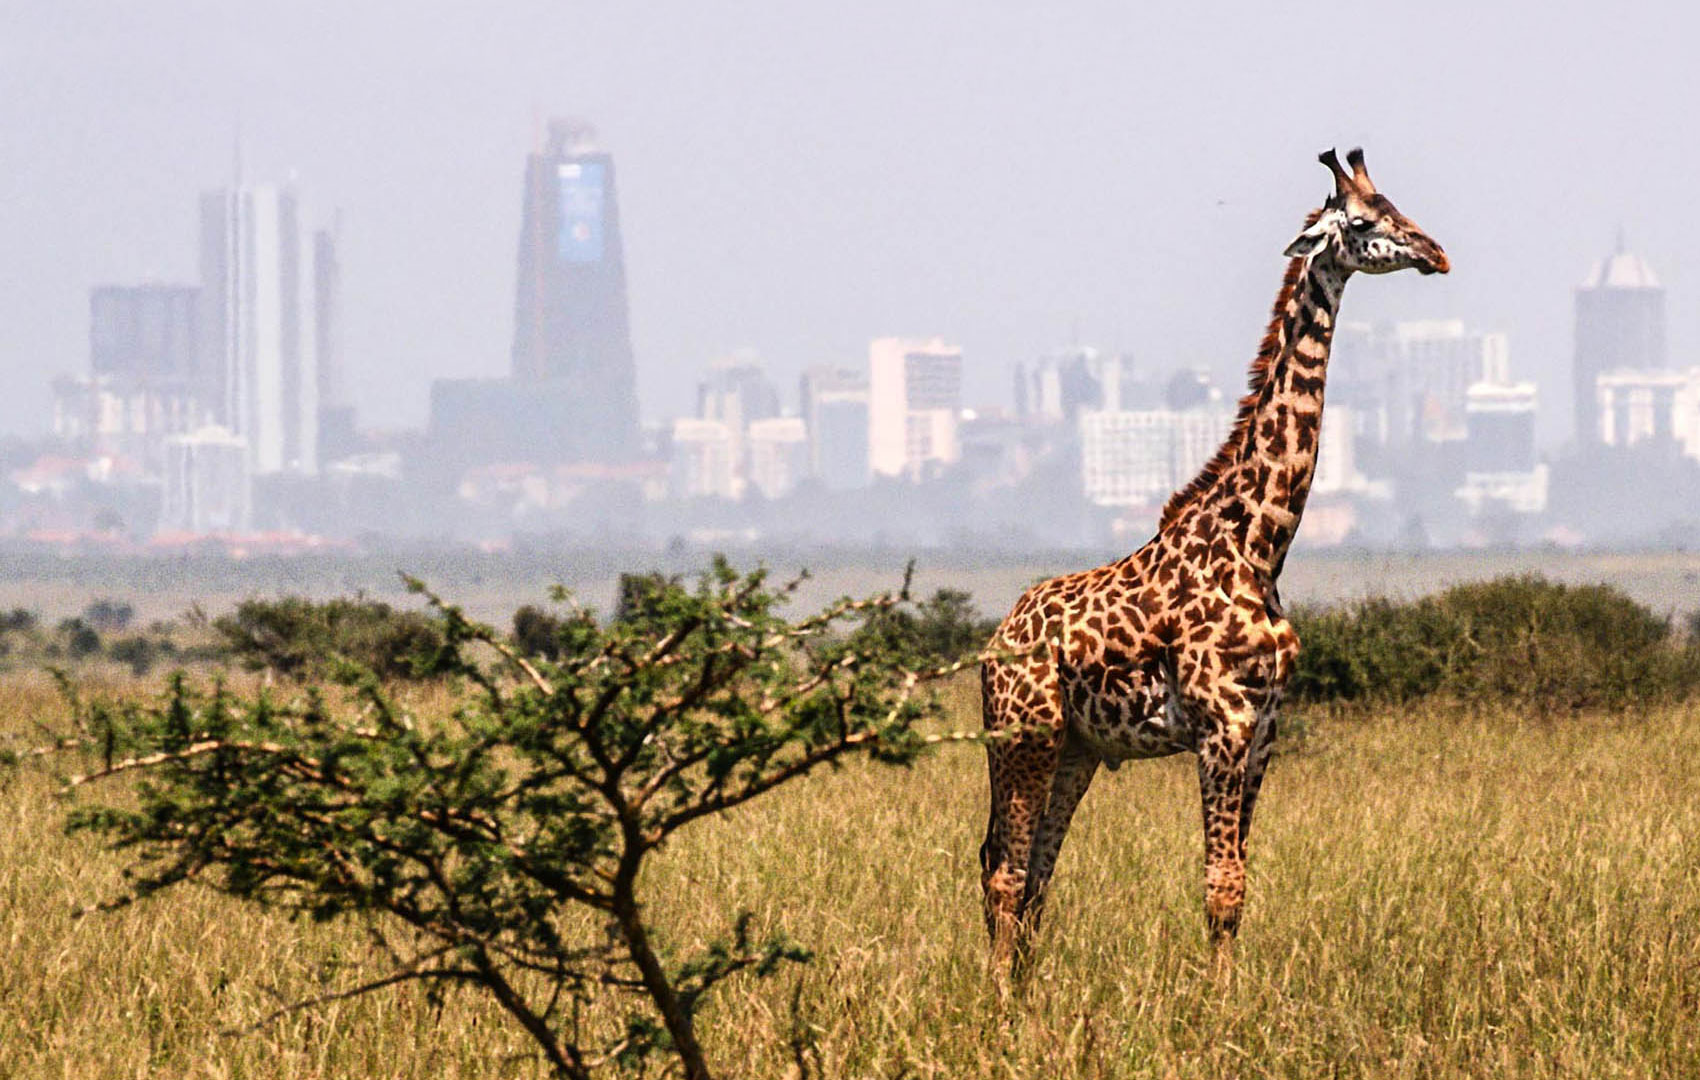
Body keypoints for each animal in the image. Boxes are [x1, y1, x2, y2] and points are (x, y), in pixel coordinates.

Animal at [986, 149, 1448, 972]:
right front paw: (1217, 1003)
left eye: (1398, 204)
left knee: (1034, 876)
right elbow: (1220, 886)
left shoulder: (1263, 730)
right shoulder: (1222, 727)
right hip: (1024, 738)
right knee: (1006, 877)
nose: (1437, 252)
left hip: (1075, 748)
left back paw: (1027, 992)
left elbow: (1237, 886)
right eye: (1366, 220)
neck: (1259, 544)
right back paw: (998, 994)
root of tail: (992, 643)